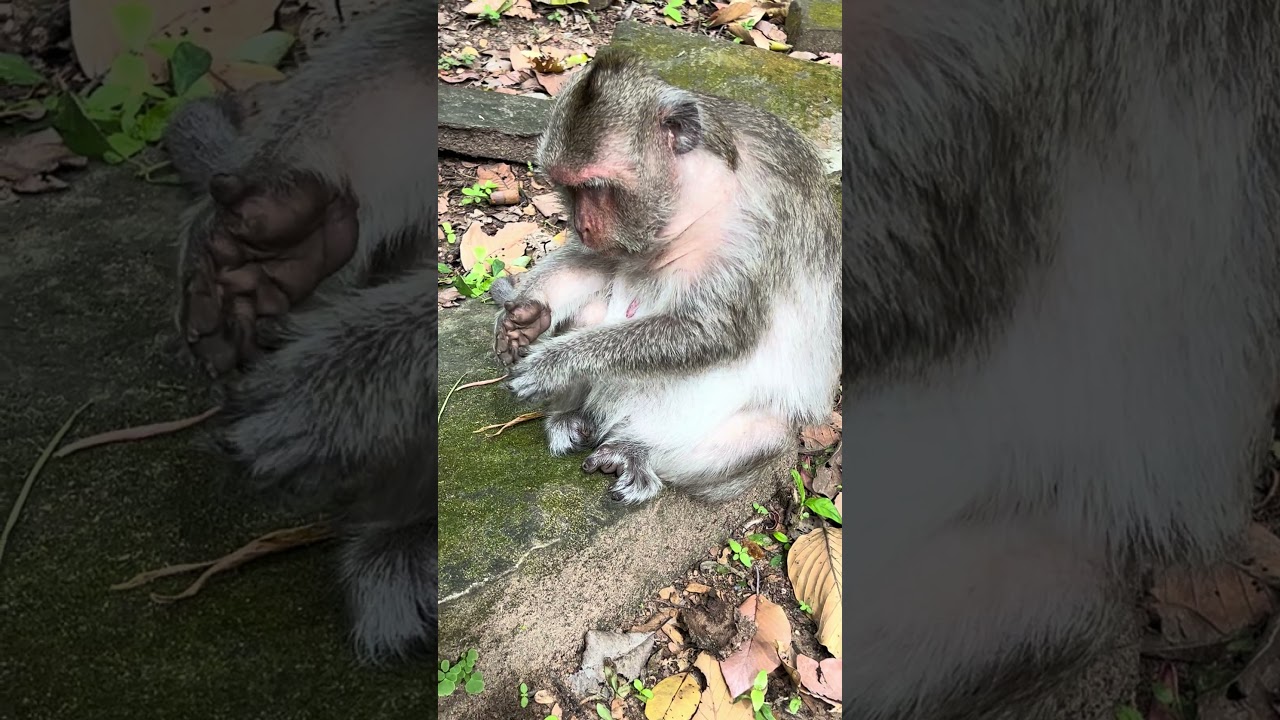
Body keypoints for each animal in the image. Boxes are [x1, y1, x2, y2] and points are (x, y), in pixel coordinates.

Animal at [488, 51, 842, 506]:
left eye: (596, 186)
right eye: (569, 188)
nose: (582, 224)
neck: (697, 199)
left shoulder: (757, 231)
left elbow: (710, 332)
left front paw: (556, 362)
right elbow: (596, 262)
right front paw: (523, 317)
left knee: (761, 436)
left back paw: (634, 452)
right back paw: (571, 415)